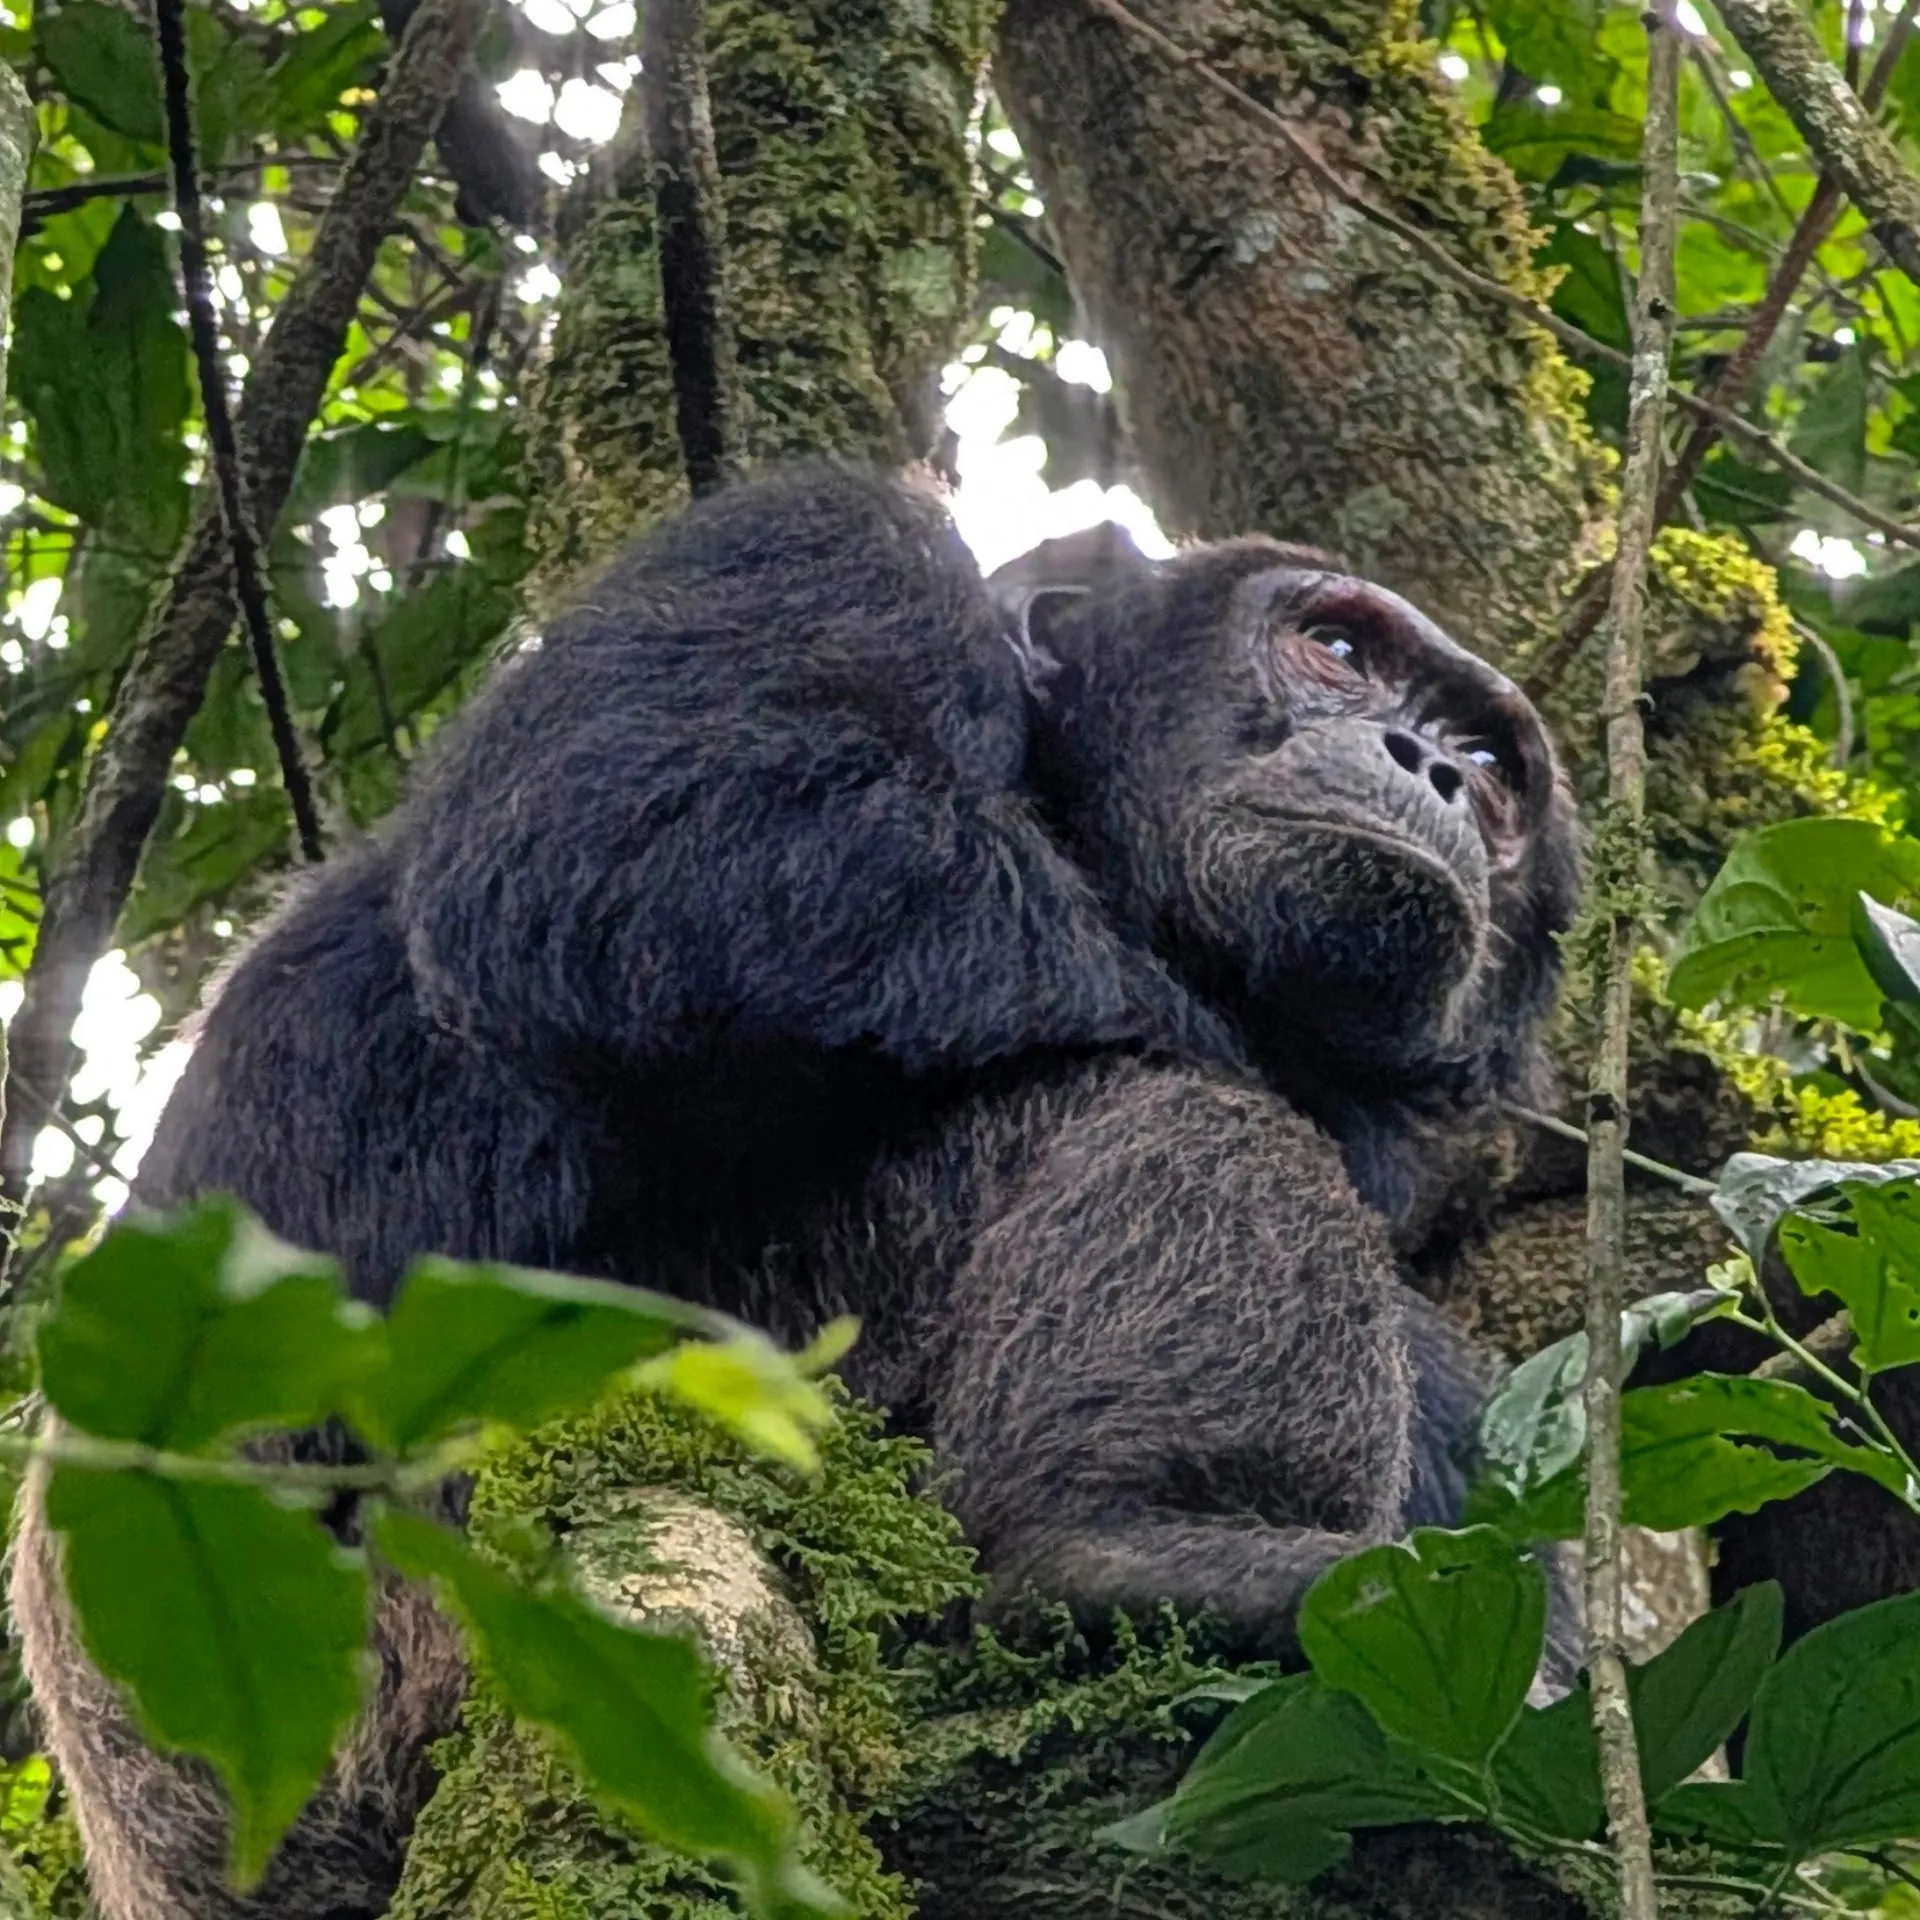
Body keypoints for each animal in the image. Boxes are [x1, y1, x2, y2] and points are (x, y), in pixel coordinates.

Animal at [11, 462, 1581, 1919]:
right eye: (1339, 648)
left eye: (1490, 759)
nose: (1426, 763)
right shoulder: (819, 552)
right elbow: (643, 835)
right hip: (446, 1601)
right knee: (1164, 1110)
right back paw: (1137, 1550)